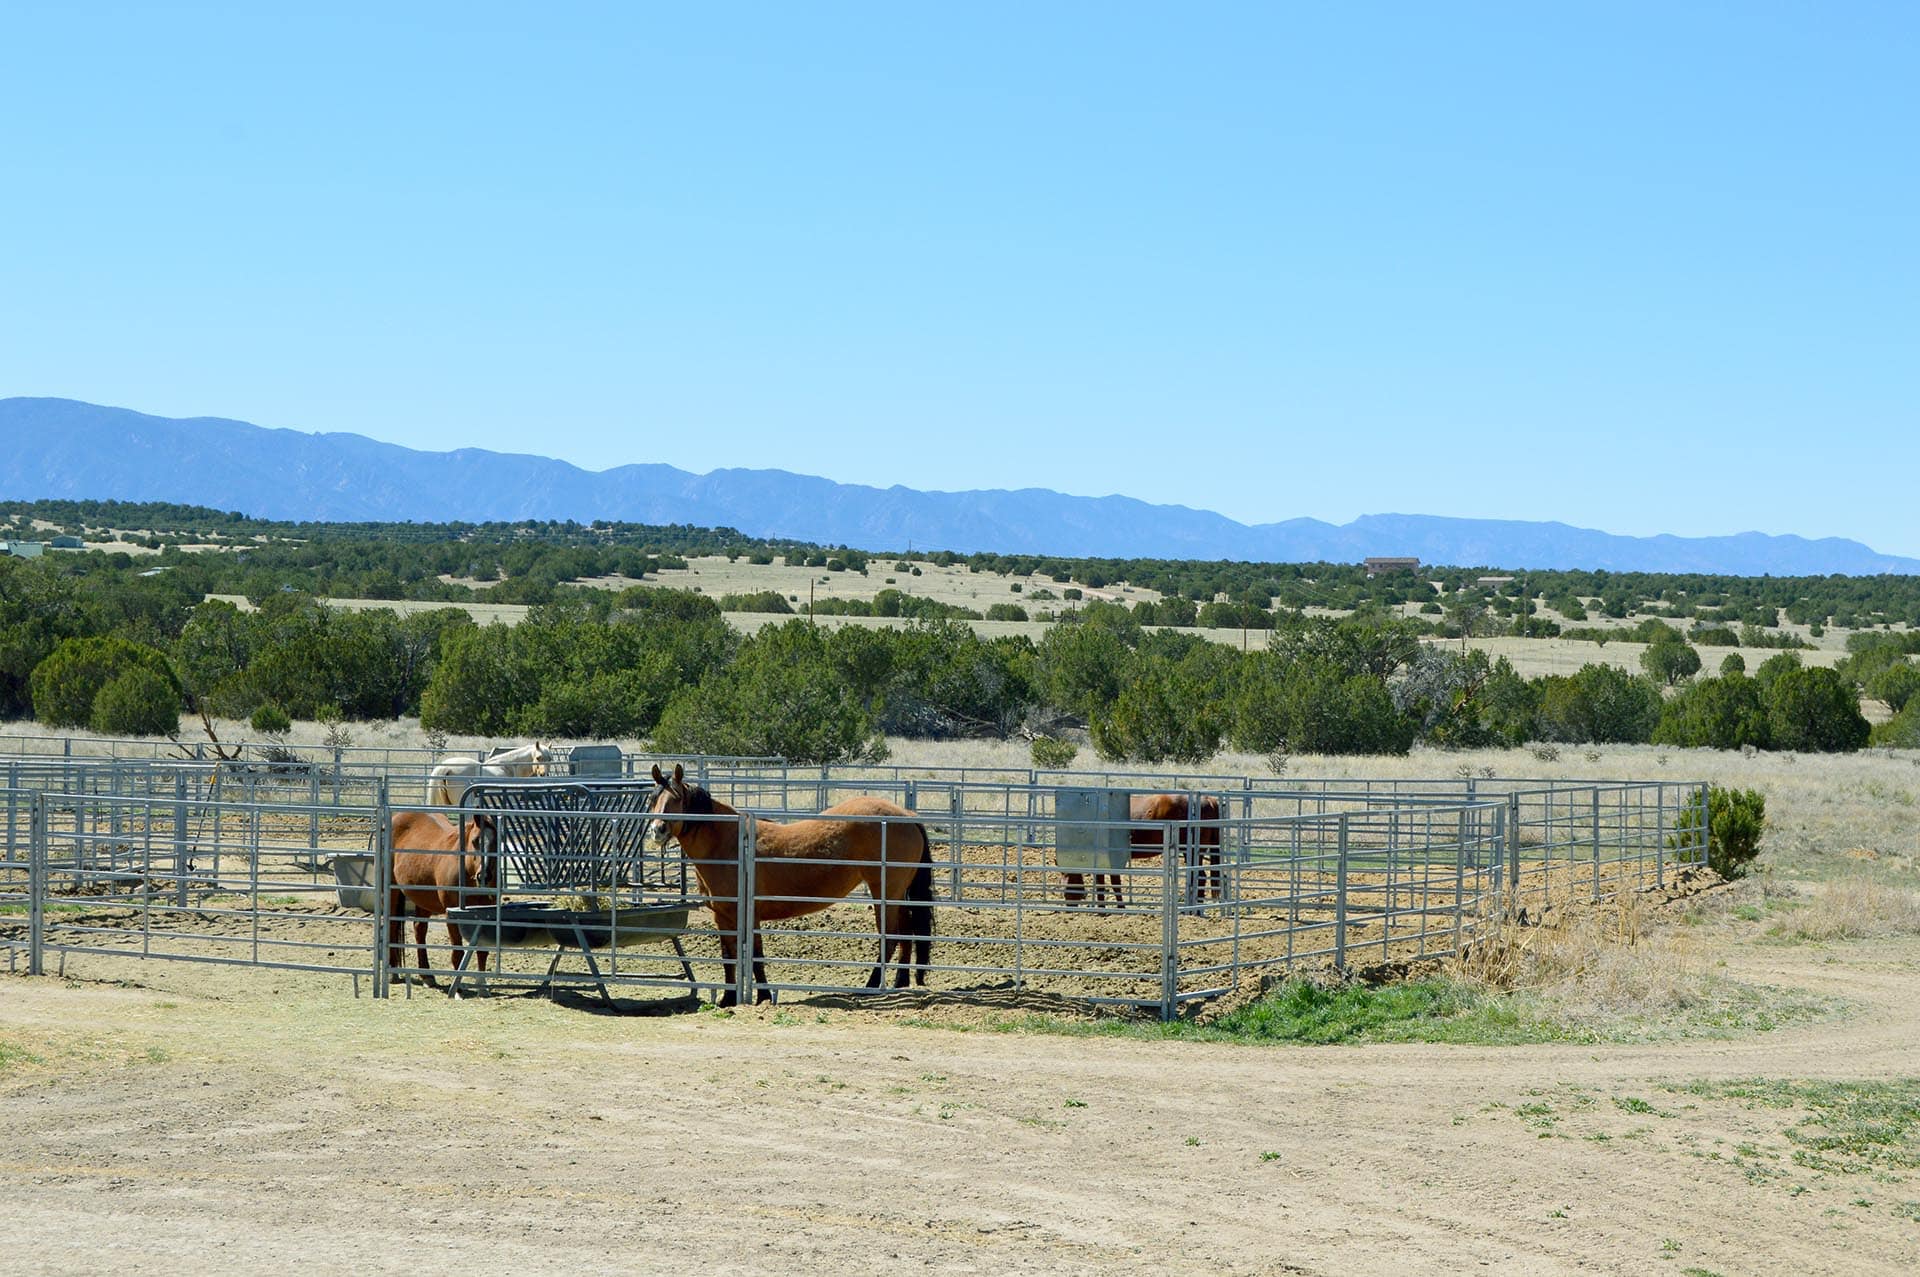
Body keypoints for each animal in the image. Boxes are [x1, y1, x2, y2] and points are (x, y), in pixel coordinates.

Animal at [386, 810, 498, 992]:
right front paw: (458, 990)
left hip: (423, 898)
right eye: (475, 841)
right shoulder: (451, 914)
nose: (484, 876)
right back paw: (393, 972)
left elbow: (482, 952)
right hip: (392, 891)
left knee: (419, 930)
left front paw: (482, 986)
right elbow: (458, 952)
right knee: (392, 925)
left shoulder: (485, 914)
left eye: (496, 842)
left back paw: (427, 976)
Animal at [643, 762, 934, 1007]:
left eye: (677, 799)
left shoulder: (747, 914)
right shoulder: (724, 916)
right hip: (896, 894)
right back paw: (899, 982)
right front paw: (729, 998)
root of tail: (906, 815)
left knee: (890, 937)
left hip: (885, 892)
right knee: (905, 932)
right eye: (652, 799)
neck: (730, 843)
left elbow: (754, 954)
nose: (657, 830)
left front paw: (760, 996)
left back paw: (871, 986)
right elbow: (730, 956)